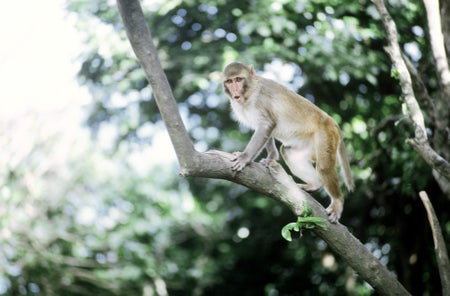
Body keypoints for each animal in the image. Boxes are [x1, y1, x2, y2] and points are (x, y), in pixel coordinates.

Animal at [223, 62, 354, 223]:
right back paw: (314, 185)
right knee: (289, 152)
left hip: (326, 135)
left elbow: (266, 125)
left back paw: (337, 202)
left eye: (238, 79)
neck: (251, 91)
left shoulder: (260, 100)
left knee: (324, 167)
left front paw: (244, 158)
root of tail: (334, 123)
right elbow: (266, 130)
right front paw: (271, 157)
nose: (235, 89)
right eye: (229, 81)